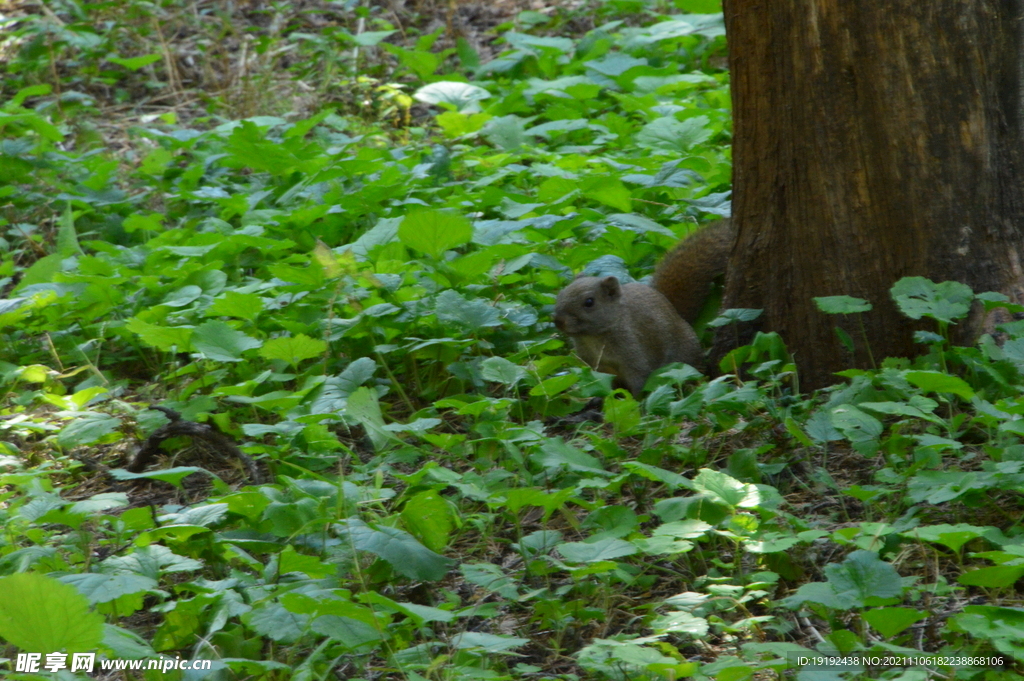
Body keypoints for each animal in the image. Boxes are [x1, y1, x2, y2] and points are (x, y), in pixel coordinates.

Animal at [552, 274, 704, 395]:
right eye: (560, 294)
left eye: (589, 302)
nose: (558, 321)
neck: (594, 337)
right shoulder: (594, 365)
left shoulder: (634, 354)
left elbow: (639, 379)